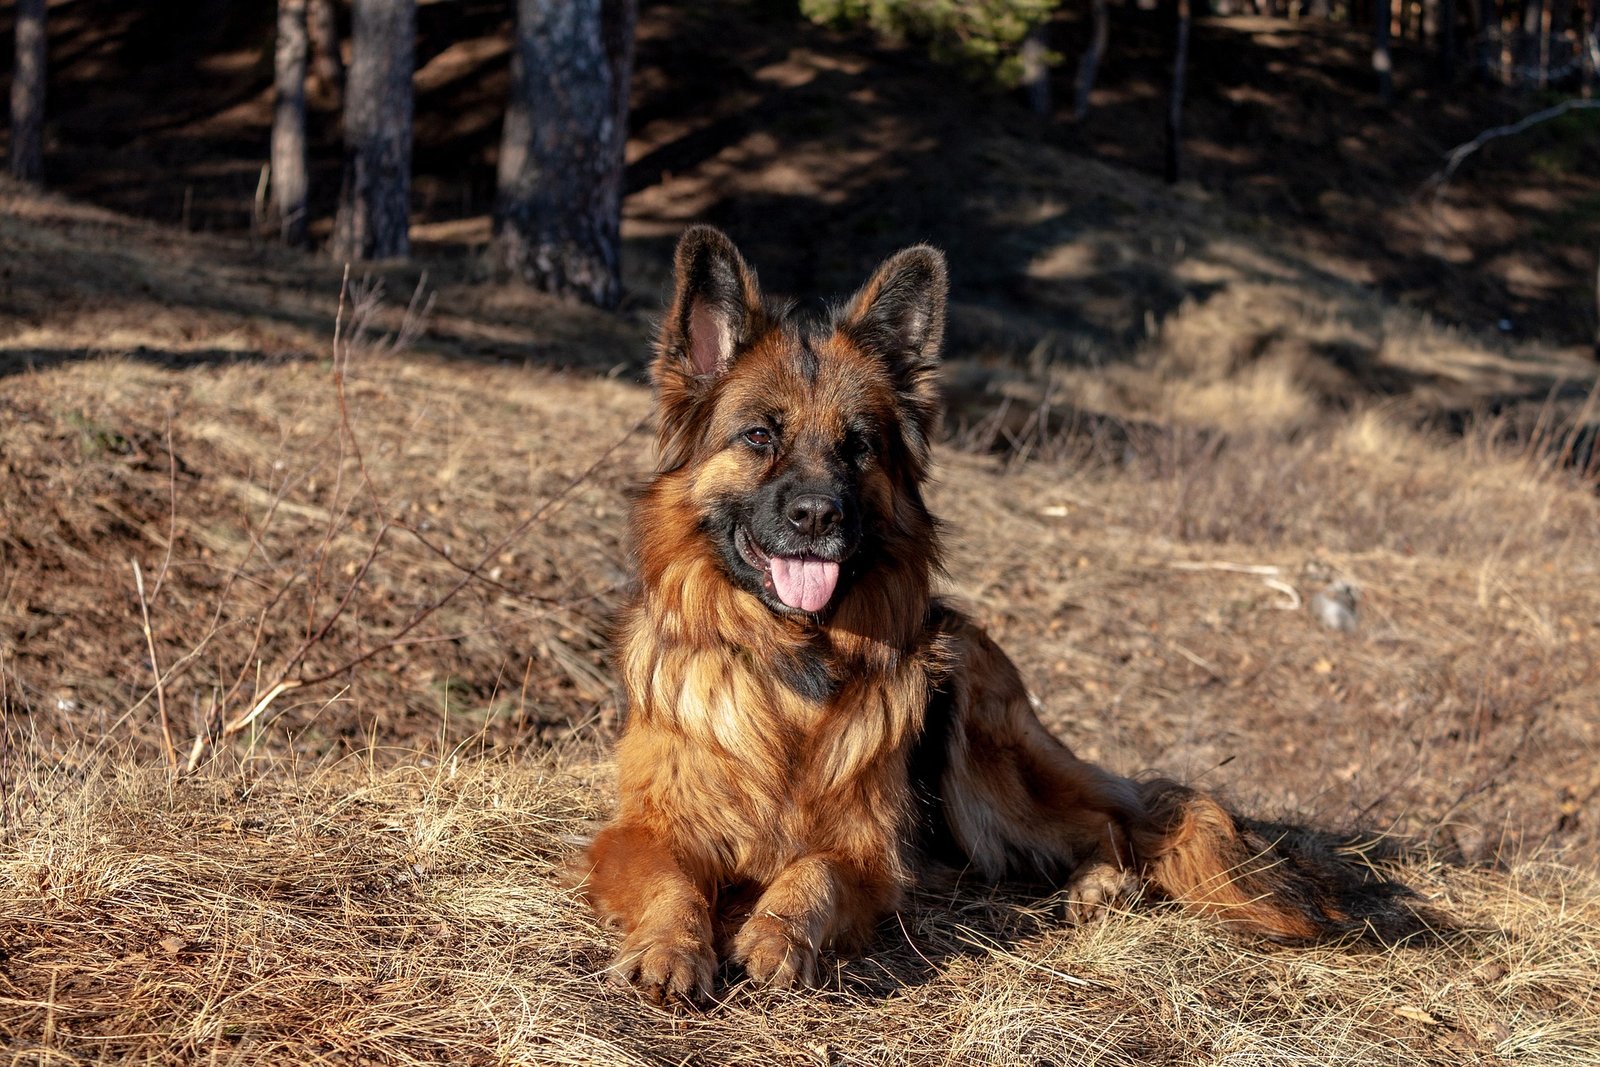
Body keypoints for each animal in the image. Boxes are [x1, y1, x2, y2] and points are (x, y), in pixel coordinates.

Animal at [572, 230, 1414, 1004]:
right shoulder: (642, 829)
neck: (790, 664)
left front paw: (777, 934)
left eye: (859, 448)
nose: (818, 516)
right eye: (758, 436)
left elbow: (813, 874)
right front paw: (669, 946)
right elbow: (671, 881)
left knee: (1114, 825)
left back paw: (1100, 885)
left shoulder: (866, 850)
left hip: (981, 752)